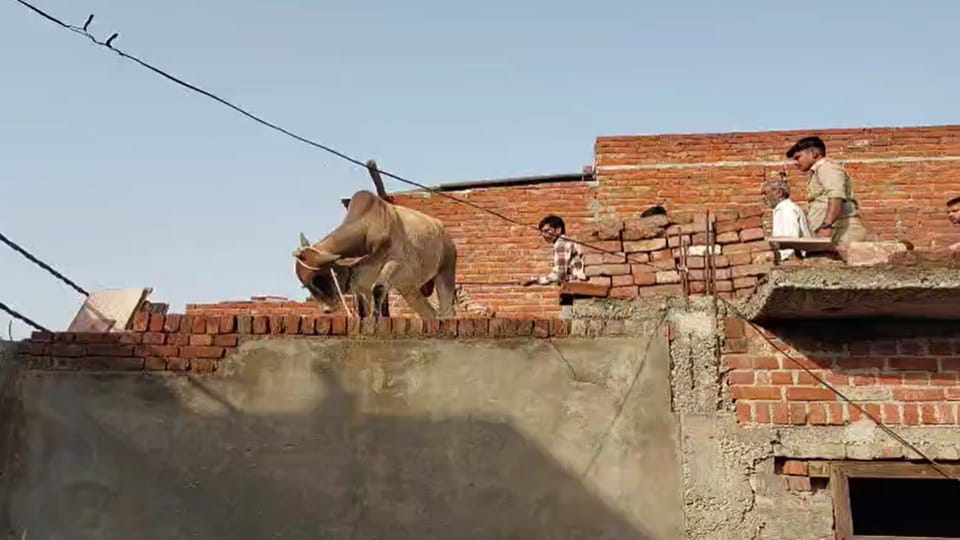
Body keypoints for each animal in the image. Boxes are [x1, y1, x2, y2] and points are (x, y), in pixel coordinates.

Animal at [293, 190, 457, 319]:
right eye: (306, 285)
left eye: (319, 278)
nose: (327, 309)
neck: (369, 226)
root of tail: (442, 230)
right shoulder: (360, 282)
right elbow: (363, 309)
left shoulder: (395, 263)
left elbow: (378, 290)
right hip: (409, 288)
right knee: (429, 314)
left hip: (445, 273)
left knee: (446, 311)